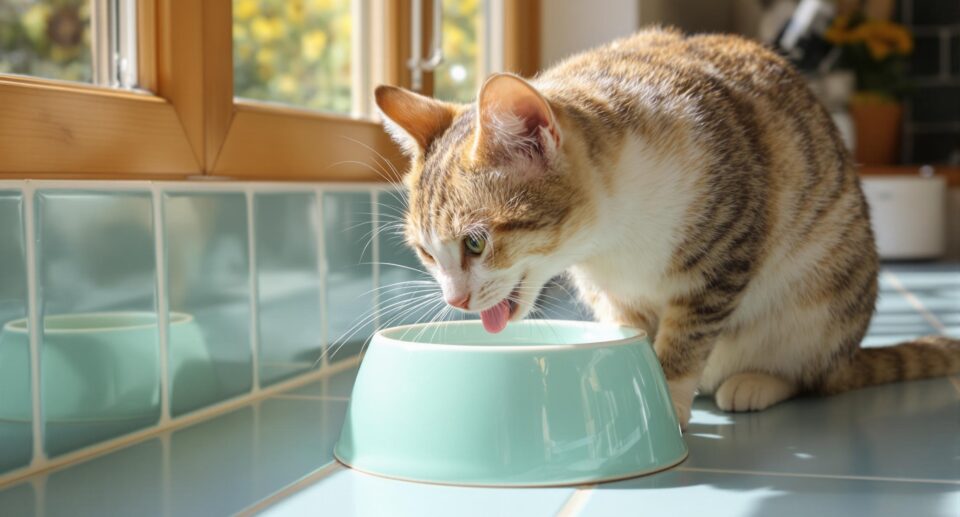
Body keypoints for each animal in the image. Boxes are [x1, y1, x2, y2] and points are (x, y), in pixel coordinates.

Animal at [374, 29, 960, 432]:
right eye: (427, 254)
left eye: (475, 242)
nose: (454, 300)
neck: (609, 237)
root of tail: (848, 354)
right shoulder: (613, 293)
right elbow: (631, 333)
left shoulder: (723, 252)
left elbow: (683, 341)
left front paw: (665, 402)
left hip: (820, 298)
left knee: (810, 375)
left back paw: (757, 382)